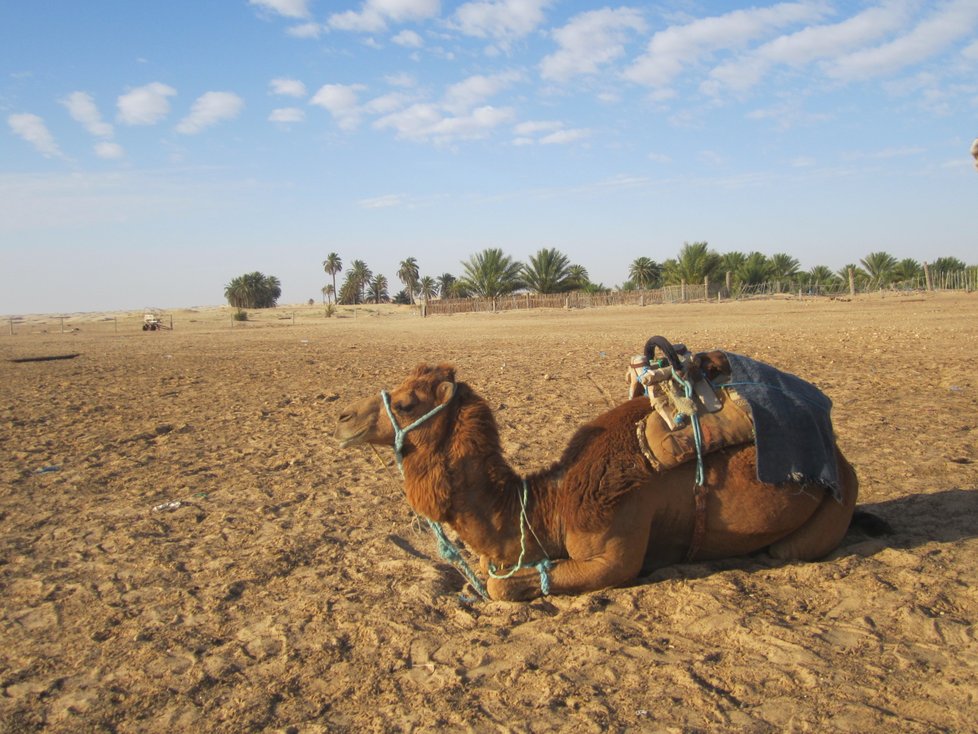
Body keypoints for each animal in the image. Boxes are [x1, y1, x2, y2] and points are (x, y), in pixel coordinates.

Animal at [334, 360, 860, 600]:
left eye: (407, 403)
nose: (341, 418)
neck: (548, 503)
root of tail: (840, 455)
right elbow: (491, 572)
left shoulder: (613, 550)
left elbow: (504, 587)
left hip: (834, 503)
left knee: (786, 550)